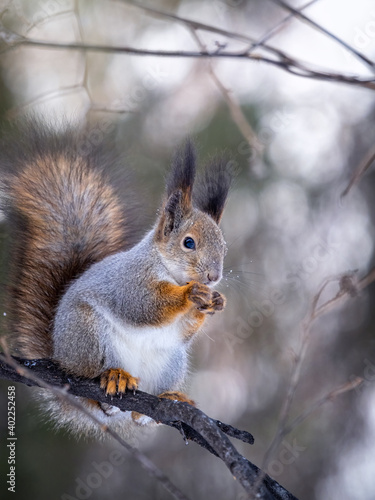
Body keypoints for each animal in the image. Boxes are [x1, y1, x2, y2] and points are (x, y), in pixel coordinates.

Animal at [0, 121, 232, 438]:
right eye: (188, 243)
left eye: (224, 247)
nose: (213, 277)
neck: (169, 271)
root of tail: (60, 358)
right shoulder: (128, 281)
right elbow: (143, 306)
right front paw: (190, 294)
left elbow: (184, 330)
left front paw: (214, 302)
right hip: (87, 334)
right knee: (91, 377)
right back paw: (114, 376)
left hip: (172, 362)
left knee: (136, 414)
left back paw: (164, 400)